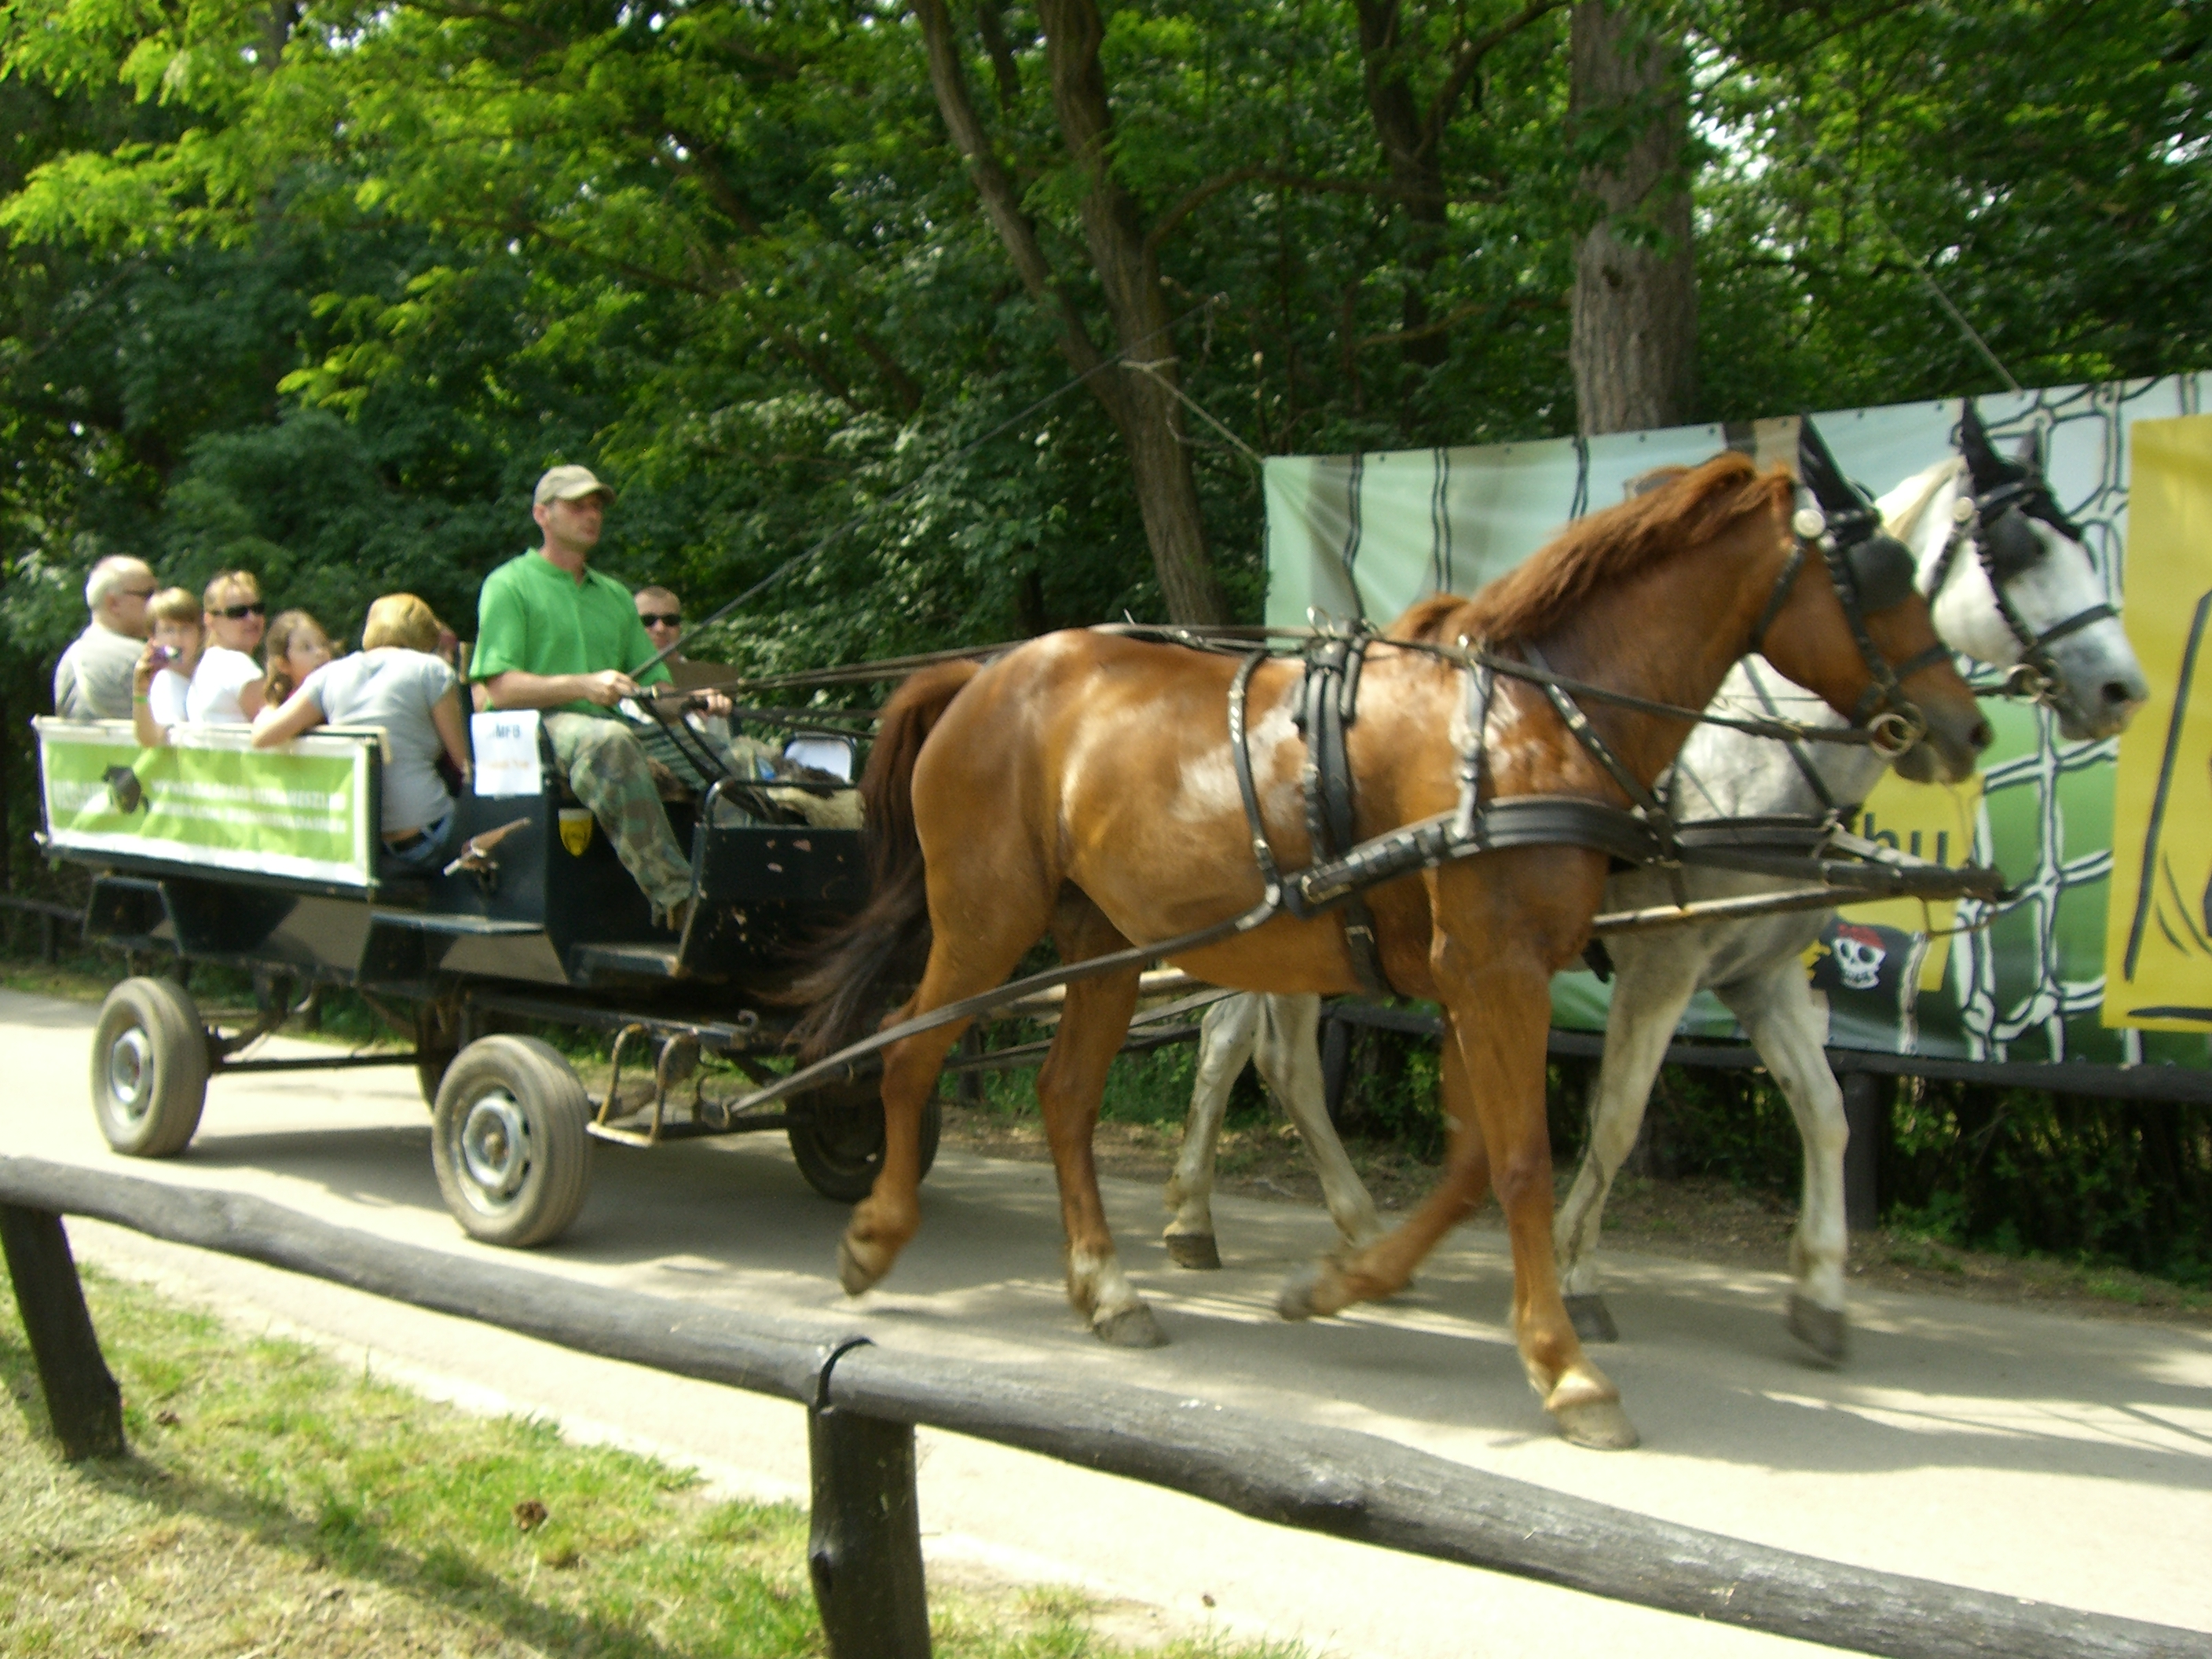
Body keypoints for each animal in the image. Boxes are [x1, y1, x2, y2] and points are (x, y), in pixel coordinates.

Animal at [796, 449, 1990, 1451]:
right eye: (1879, 574)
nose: (1966, 728)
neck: (1528, 723)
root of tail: (982, 675)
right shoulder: (1502, 970)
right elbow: (1522, 1161)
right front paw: (1566, 1370)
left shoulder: (1482, 974)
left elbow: (1473, 1167)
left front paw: (1344, 1281)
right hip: (987, 920)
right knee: (910, 1051)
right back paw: (878, 1235)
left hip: (1109, 940)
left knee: (1066, 1096)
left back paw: (1109, 1289)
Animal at [1159, 408, 2141, 1353]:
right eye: (2021, 548)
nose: (2121, 690)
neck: (1743, 754)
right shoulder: (1663, 963)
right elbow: (1618, 1117)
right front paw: (1575, 1280)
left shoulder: (1760, 971)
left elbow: (1824, 1112)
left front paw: (1819, 1295)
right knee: (1273, 1057)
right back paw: (1327, 1231)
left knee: (1233, 1044)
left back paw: (1215, 1222)